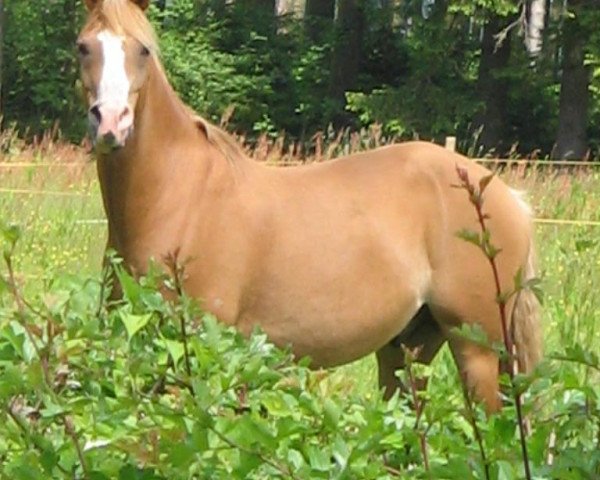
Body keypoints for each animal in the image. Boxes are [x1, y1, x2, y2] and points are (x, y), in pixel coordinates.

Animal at [77, 0, 540, 412]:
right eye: (84, 47)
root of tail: (506, 197)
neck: (179, 198)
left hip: (478, 349)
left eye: (143, 49)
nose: (111, 123)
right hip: (410, 346)